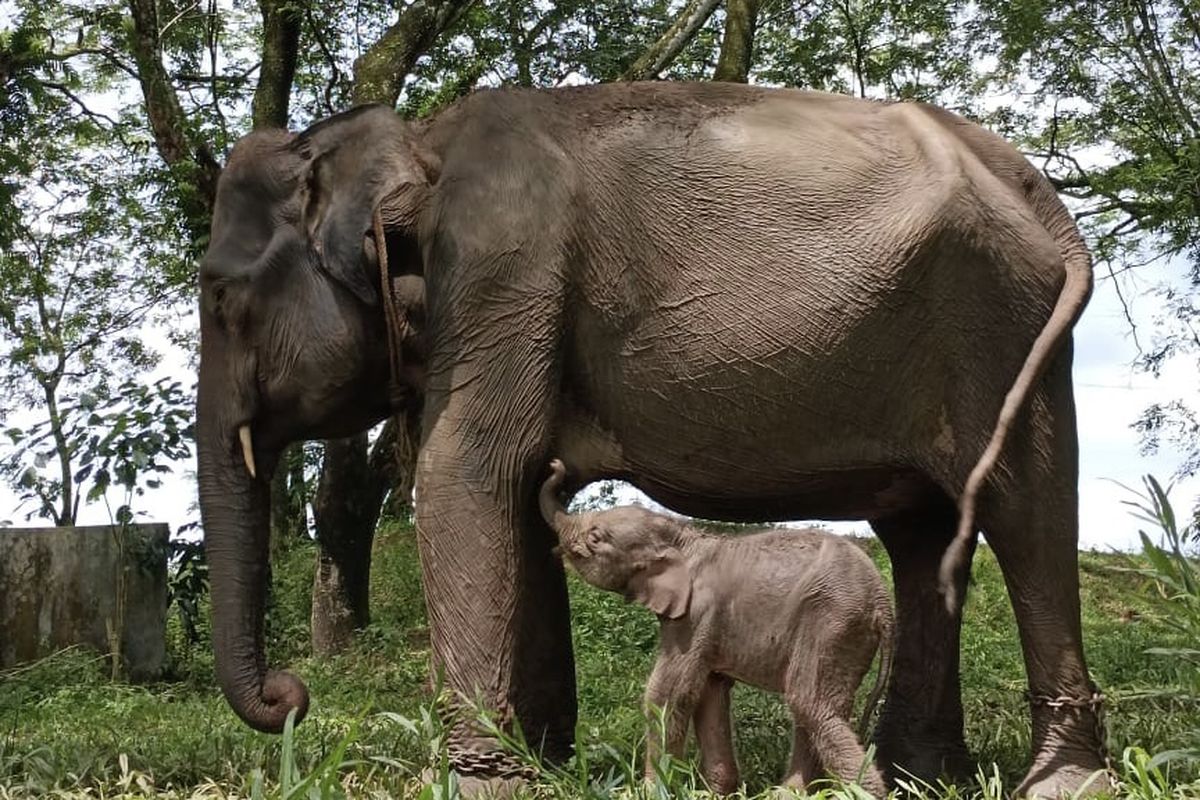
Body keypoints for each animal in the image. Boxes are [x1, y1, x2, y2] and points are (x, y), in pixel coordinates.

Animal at [542, 460, 892, 796]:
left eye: (595, 538)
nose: (557, 465)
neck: (682, 536)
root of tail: (883, 602)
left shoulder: (696, 614)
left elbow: (669, 692)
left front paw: (648, 791)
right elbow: (710, 692)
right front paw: (715, 792)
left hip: (831, 621)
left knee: (811, 703)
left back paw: (861, 793)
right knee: (814, 708)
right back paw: (788, 794)